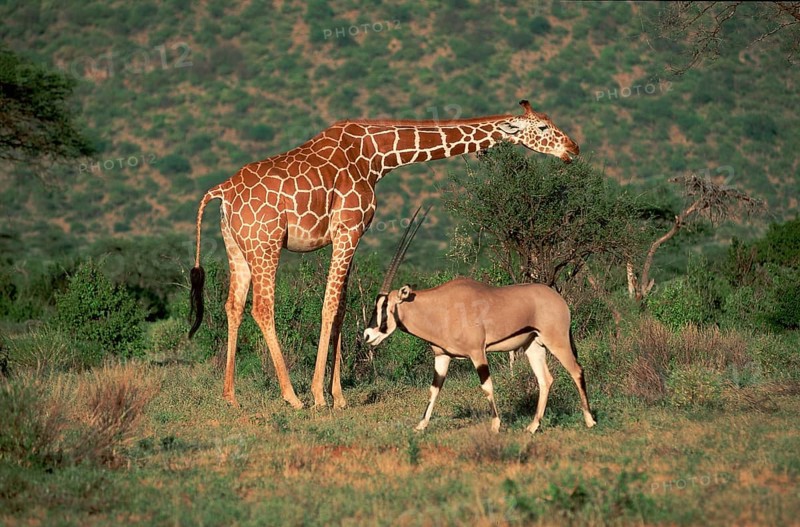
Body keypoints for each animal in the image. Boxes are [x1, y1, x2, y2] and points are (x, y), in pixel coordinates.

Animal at [188, 99, 580, 410]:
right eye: (543, 127)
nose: (573, 149)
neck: (378, 156)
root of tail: (221, 191)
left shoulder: (353, 235)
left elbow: (342, 307)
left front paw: (339, 395)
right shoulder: (347, 229)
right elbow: (329, 306)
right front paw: (318, 395)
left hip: (237, 247)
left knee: (233, 306)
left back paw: (230, 396)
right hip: (266, 244)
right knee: (261, 308)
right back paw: (292, 397)